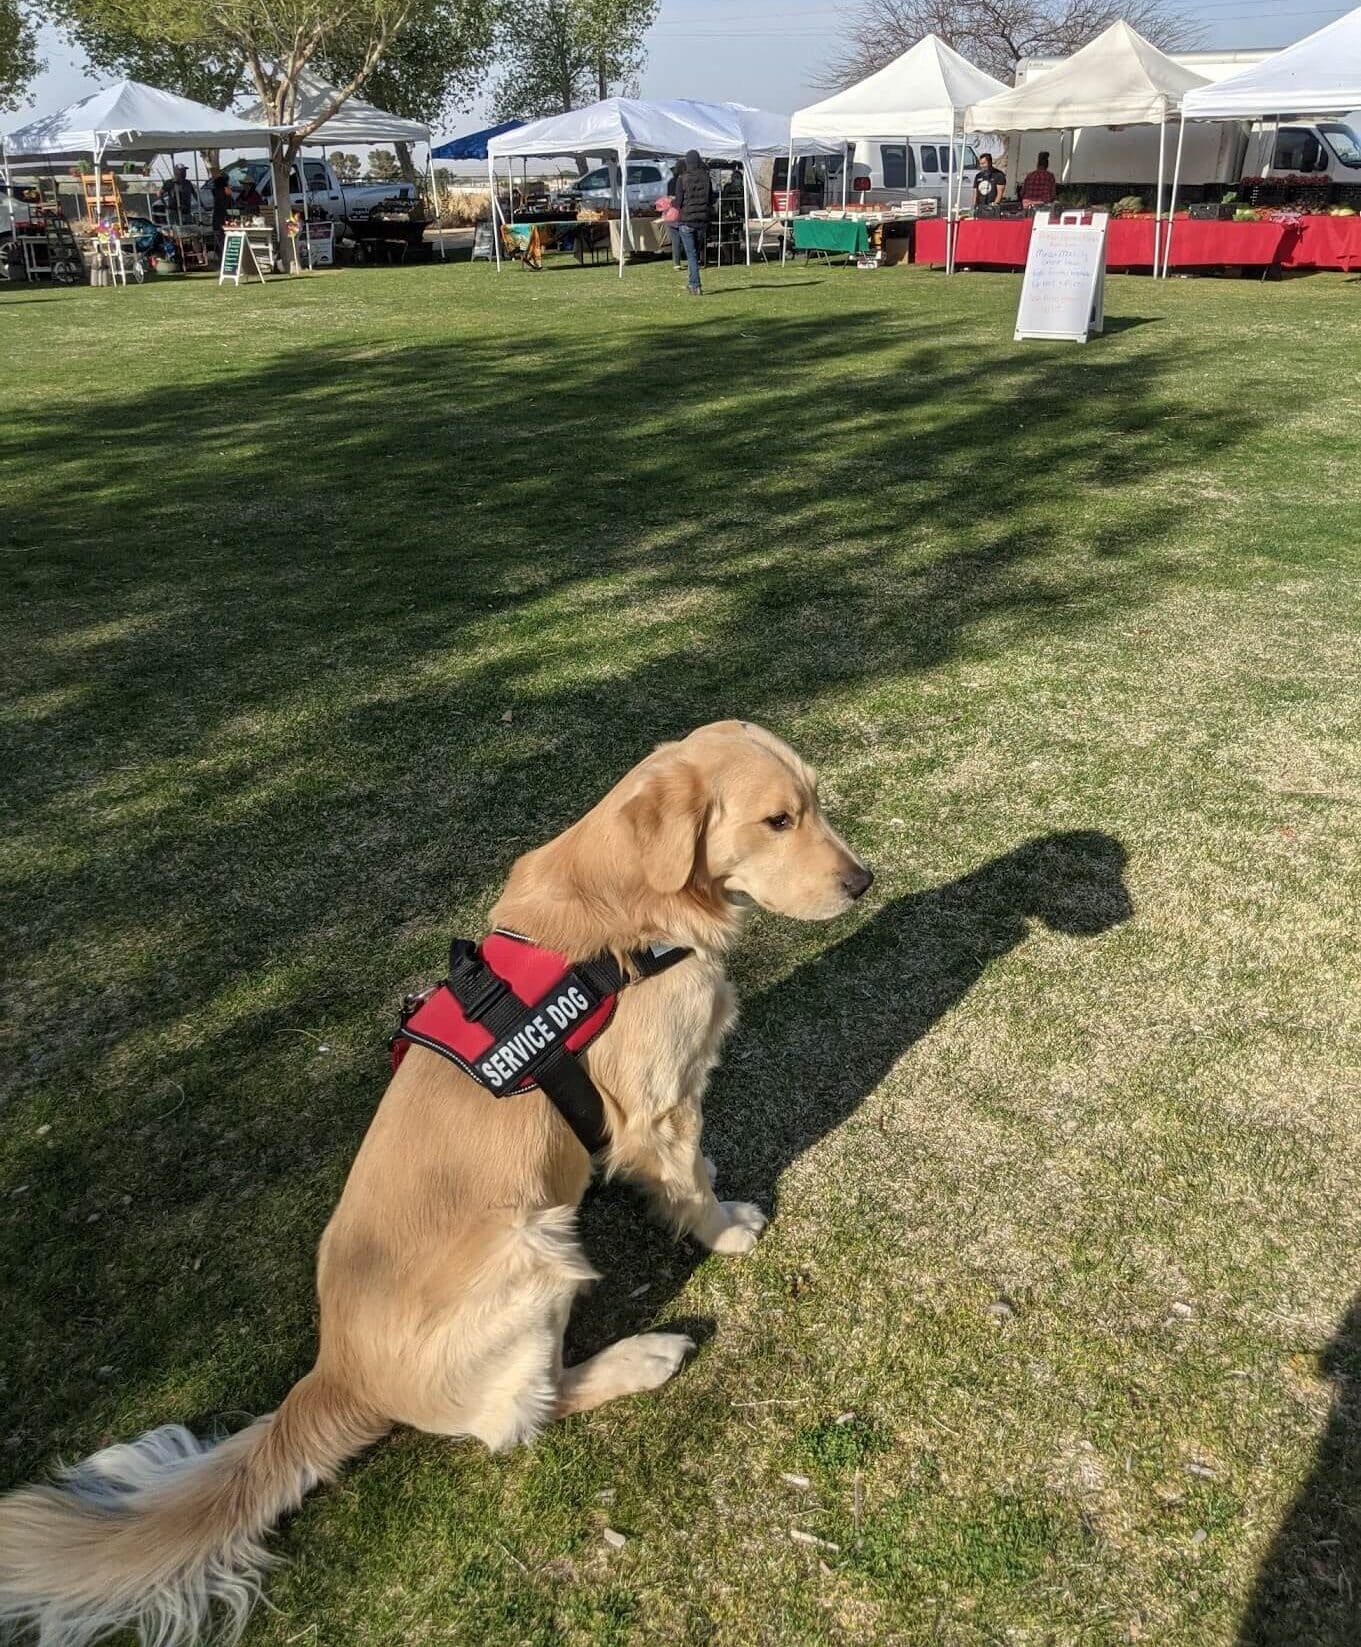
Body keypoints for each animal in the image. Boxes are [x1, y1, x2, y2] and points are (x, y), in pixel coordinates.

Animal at [0, 724, 869, 1647]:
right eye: (776, 820)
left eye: (815, 802)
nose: (863, 880)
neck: (634, 901)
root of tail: (336, 1369)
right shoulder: (659, 1104)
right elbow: (687, 1178)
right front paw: (724, 1225)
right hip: (534, 1244)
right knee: (532, 1409)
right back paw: (647, 1353)